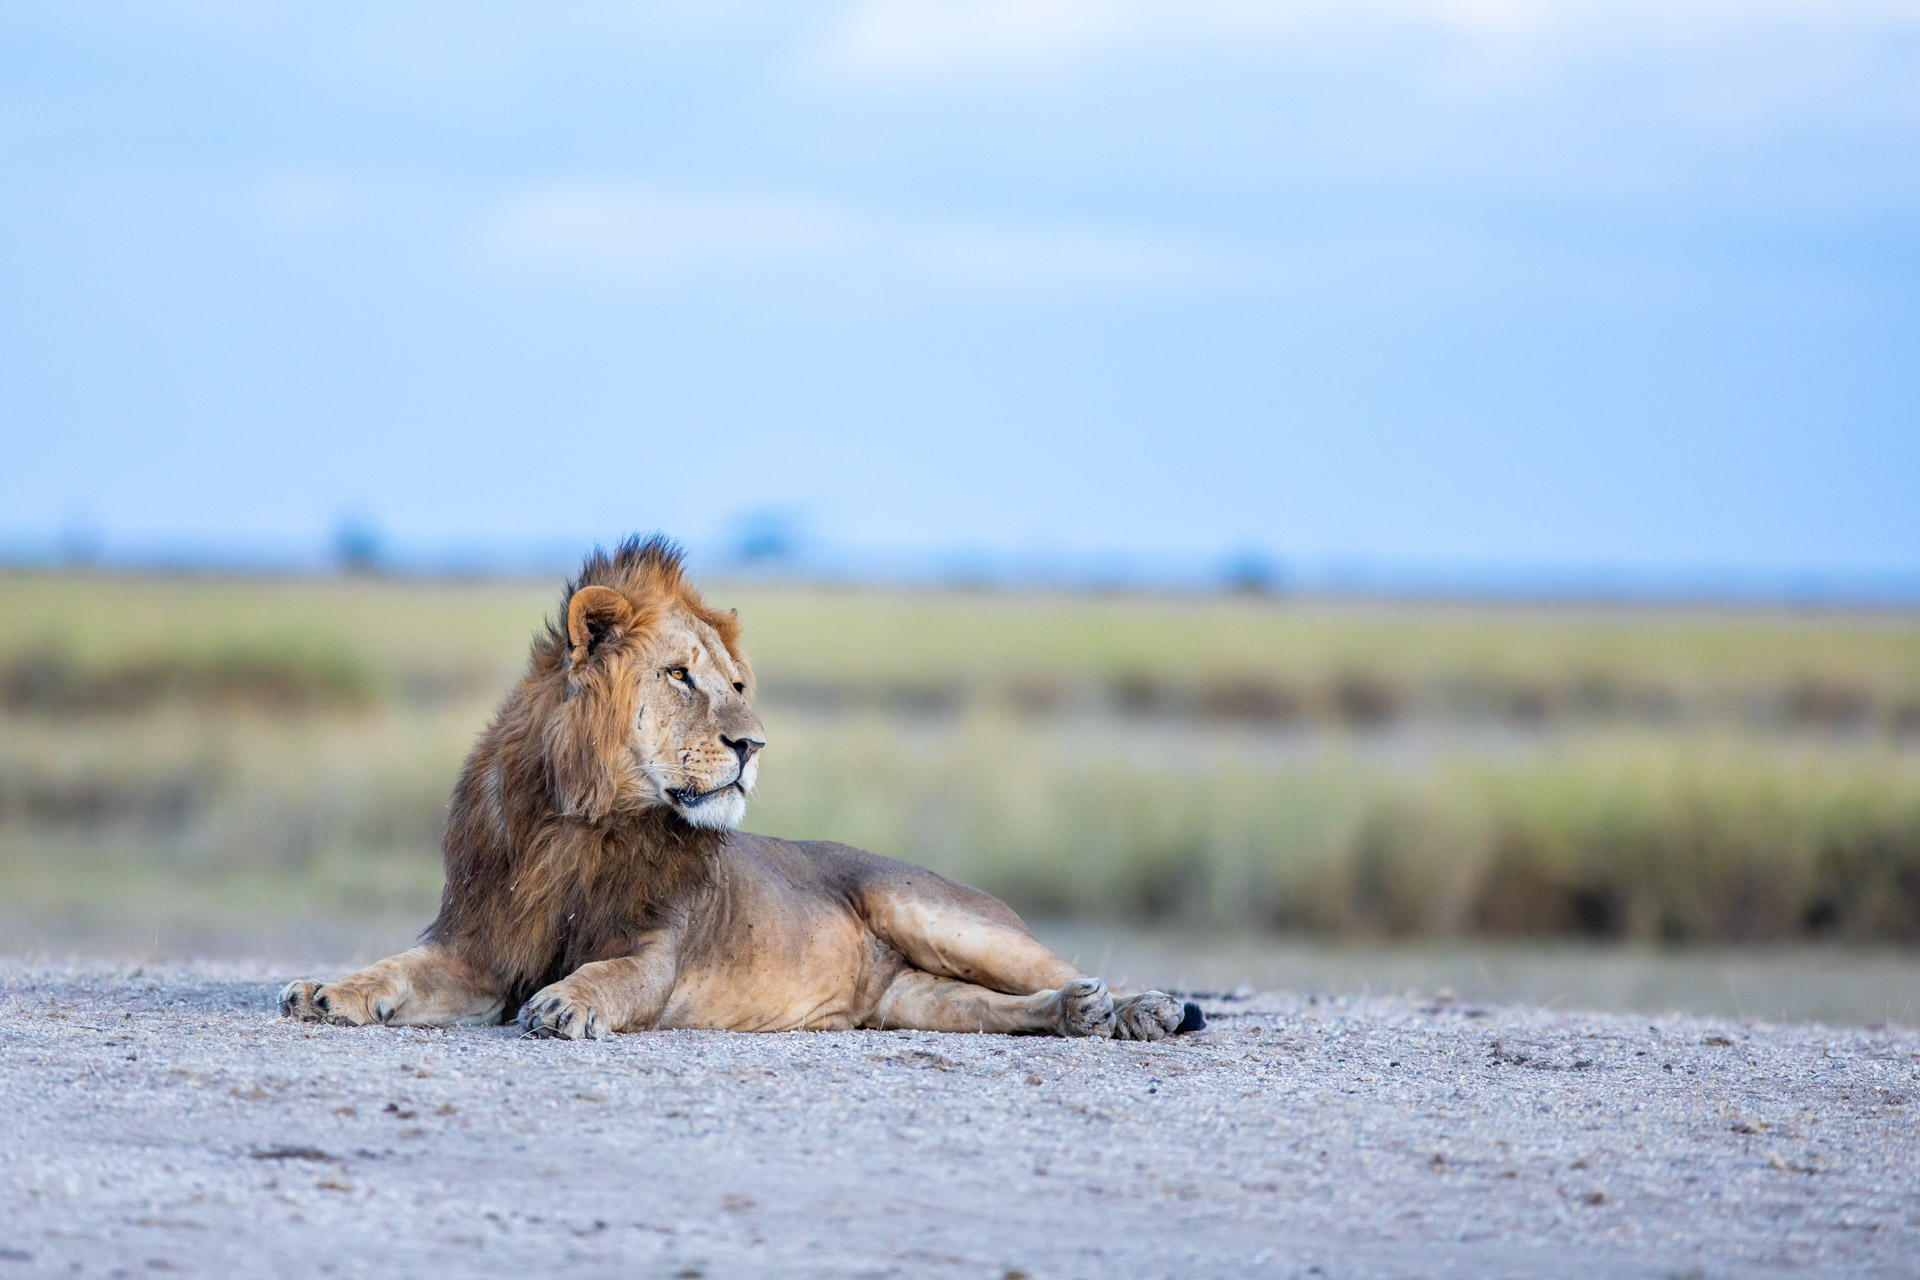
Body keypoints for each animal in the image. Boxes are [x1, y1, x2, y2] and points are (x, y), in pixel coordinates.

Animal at [281, 536, 1202, 1042]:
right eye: (680, 676)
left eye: (735, 684)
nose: (753, 744)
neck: (584, 820)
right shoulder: (479, 947)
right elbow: (396, 966)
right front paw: (327, 989)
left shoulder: (658, 954)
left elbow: (610, 977)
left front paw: (568, 1002)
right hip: (916, 998)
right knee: (994, 1007)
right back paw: (1077, 1015)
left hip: (937, 913)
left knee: (1066, 965)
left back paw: (1141, 1010)